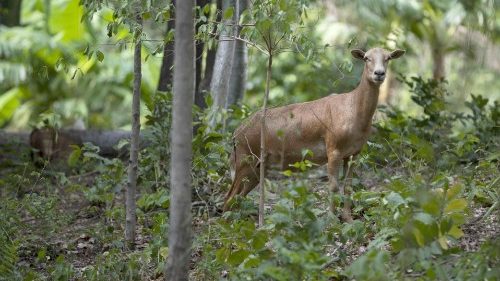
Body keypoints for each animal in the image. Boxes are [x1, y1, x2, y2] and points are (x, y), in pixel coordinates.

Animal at [225, 47, 404, 220]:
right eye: (366, 57)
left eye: (388, 57)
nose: (379, 73)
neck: (355, 115)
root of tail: (235, 134)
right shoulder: (333, 147)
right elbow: (333, 186)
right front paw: (331, 220)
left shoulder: (354, 152)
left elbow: (348, 186)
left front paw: (348, 219)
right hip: (244, 158)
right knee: (229, 196)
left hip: (257, 166)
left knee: (238, 195)